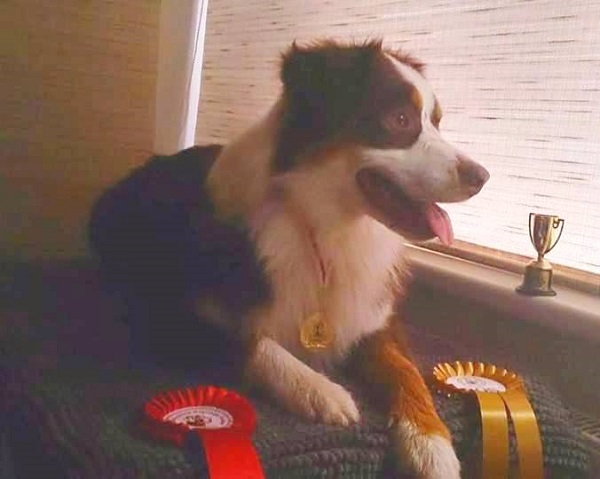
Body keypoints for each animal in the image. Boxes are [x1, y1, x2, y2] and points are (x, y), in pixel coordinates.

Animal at [90, 39, 489, 478]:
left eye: (436, 122)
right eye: (399, 119)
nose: (482, 177)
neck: (323, 225)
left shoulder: (373, 317)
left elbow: (406, 371)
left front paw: (430, 444)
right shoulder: (170, 307)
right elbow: (250, 340)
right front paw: (319, 390)